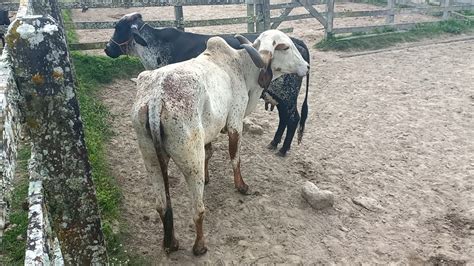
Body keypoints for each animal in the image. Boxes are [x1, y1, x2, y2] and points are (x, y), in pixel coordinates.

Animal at [104, 12, 312, 157]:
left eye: (119, 28)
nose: (107, 49)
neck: (157, 46)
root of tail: (297, 42)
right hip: (280, 97)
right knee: (285, 118)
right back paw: (274, 143)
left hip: (287, 95)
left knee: (293, 118)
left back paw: (283, 149)